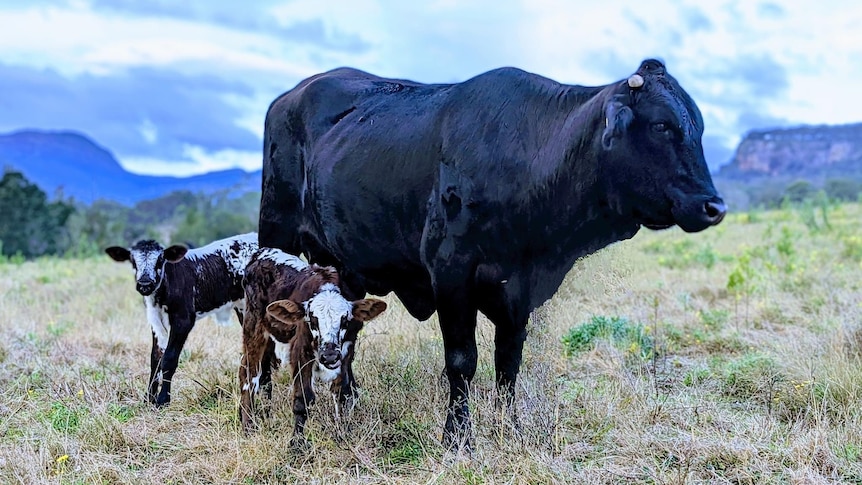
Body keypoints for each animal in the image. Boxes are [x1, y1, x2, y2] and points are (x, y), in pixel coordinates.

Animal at [105, 232, 258, 406]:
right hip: (242, 308)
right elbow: (155, 357)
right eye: (132, 260)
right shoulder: (154, 318)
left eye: (160, 259)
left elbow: (169, 358)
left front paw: (163, 399)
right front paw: (149, 398)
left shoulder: (183, 319)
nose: (145, 284)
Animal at [239, 247, 387, 438]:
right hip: (253, 327)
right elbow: (302, 400)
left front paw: (343, 433)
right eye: (313, 320)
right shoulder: (300, 351)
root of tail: (261, 253)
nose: (329, 356)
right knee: (249, 375)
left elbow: (343, 393)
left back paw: (264, 415)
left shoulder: (346, 350)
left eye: (345, 320)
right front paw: (297, 443)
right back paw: (248, 427)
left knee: (264, 374)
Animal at [258, 59, 726, 448]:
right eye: (662, 125)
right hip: (275, 235)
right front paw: (457, 437)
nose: (713, 206)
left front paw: (510, 427)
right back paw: (263, 398)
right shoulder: (451, 274)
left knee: (347, 333)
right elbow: (462, 361)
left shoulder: (519, 291)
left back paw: (350, 399)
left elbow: (508, 362)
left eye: (699, 128)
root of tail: (290, 96)